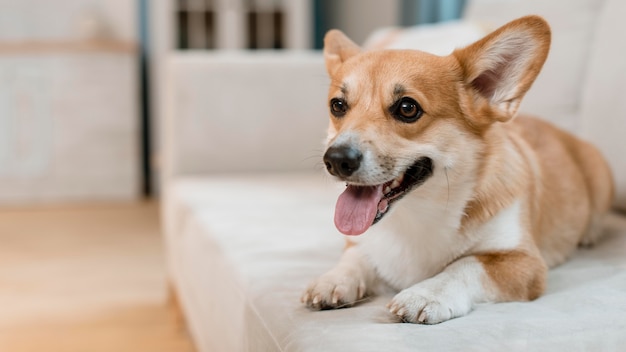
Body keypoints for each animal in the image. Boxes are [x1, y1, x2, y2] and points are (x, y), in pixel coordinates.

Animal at [300, 16, 612, 324]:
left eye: (407, 108)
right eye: (338, 106)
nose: (336, 160)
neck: (417, 215)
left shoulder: (524, 263)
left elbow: (465, 264)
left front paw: (425, 294)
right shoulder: (360, 244)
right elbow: (356, 258)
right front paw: (333, 280)